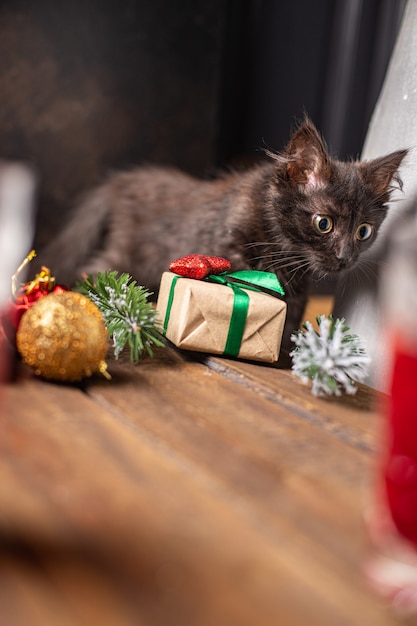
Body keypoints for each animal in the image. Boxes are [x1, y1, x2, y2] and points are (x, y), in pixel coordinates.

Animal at [39, 117, 406, 348]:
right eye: (323, 223)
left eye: (363, 231)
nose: (345, 258)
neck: (283, 249)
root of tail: (123, 182)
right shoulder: (228, 243)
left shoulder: (300, 284)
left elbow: (292, 311)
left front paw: (288, 347)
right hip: (127, 256)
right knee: (93, 271)